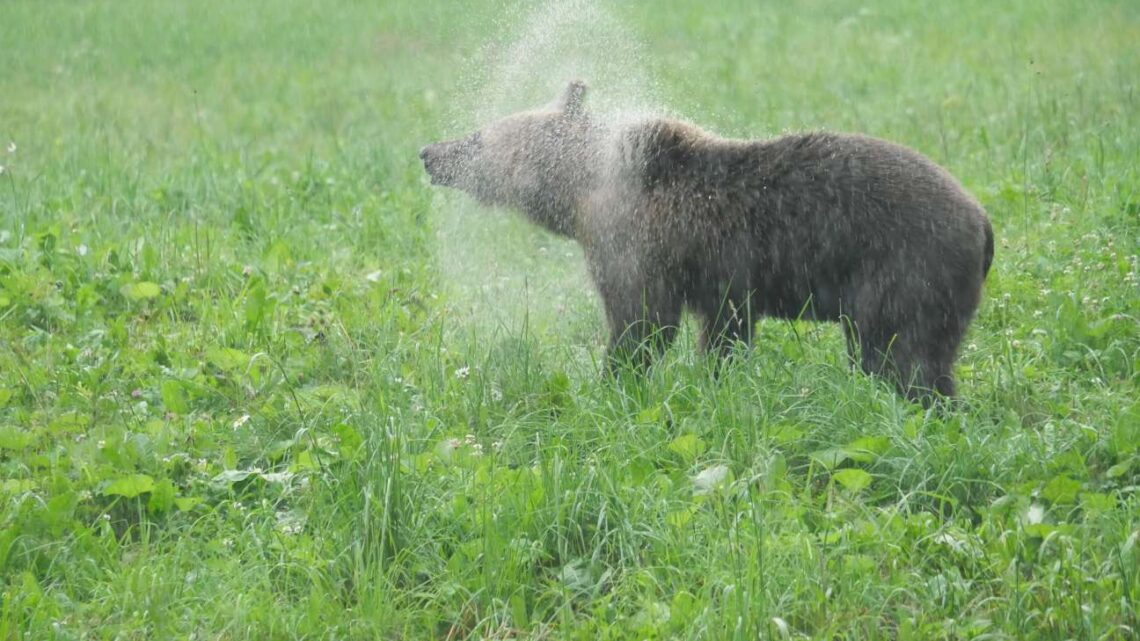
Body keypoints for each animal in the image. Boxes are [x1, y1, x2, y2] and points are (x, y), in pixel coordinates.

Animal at [421, 81, 994, 403]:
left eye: (480, 137)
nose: (429, 151)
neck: (583, 197)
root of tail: (983, 221)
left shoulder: (640, 252)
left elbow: (641, 324)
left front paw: (612, 386)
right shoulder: (723, 288)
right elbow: (723, 338)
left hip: (904, 266)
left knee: (901, 356)